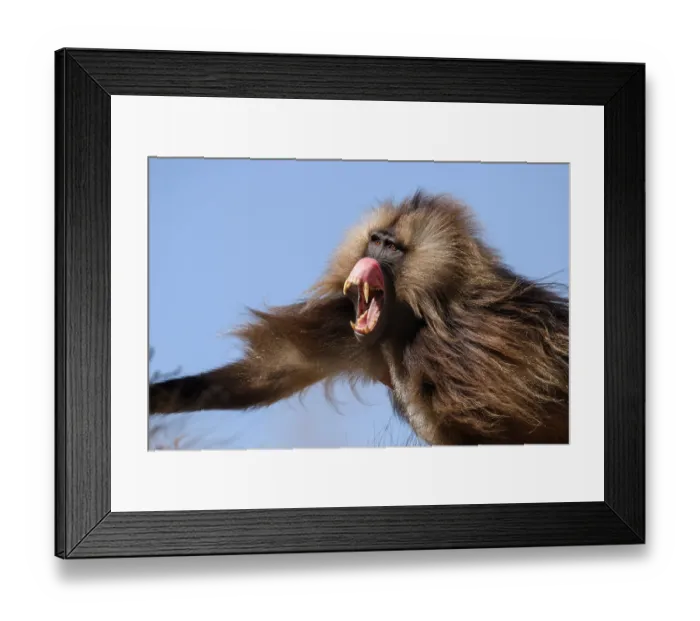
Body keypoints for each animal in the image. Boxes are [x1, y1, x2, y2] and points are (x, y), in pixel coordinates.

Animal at [149, 191, 569, 446]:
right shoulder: (349, 331)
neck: (409, 326)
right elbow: (262, 378)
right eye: (376, 241)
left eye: (393, 249)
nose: (371, 256)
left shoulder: (470, 360)